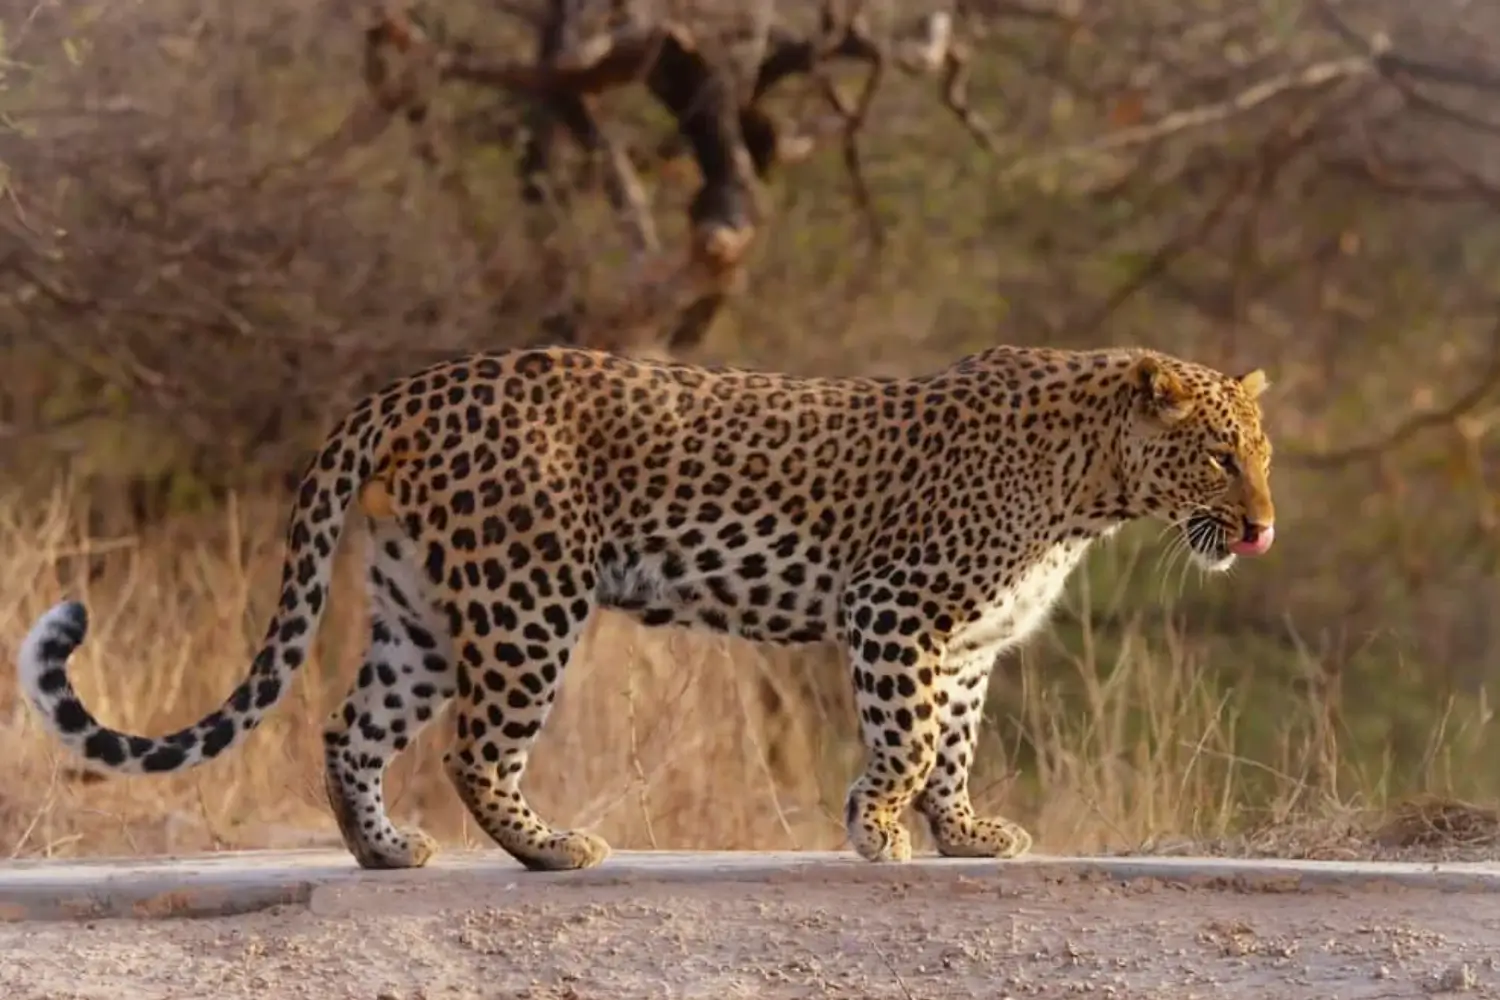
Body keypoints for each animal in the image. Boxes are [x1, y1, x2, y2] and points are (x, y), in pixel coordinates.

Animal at [17, 342, 1276, 872]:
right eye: (1220, 456)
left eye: (1261, 455)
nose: (1264, 526)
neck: (1090, 491)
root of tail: (408, 387)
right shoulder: (898, 609)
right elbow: (909, 738)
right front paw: (875, 829)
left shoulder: (966, 641)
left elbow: (952, 744)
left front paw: (965, 834)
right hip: (528, 596)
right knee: (476, 746)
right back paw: (552, 849)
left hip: (419, 608)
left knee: (349, 727)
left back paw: (384, 852)